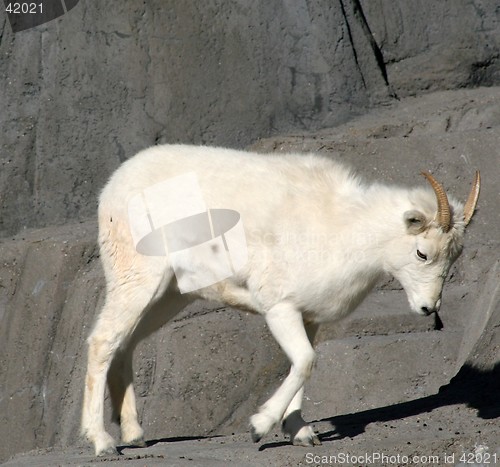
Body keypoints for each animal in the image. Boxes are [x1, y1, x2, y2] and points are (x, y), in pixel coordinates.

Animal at [82, 144, 480, 456]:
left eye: (454, 256)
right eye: (422, 253)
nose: (428, 308)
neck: (340, 229)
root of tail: (113, 188)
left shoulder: (308, 318)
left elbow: (303, 365)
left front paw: (301, 433)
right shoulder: (279, 309)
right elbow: (304, 361)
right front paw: (259, 427)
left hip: (168, 296)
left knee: (126, 343)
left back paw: (134, 435)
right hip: (138, 279)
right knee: (102, 341)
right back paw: (102, 442)